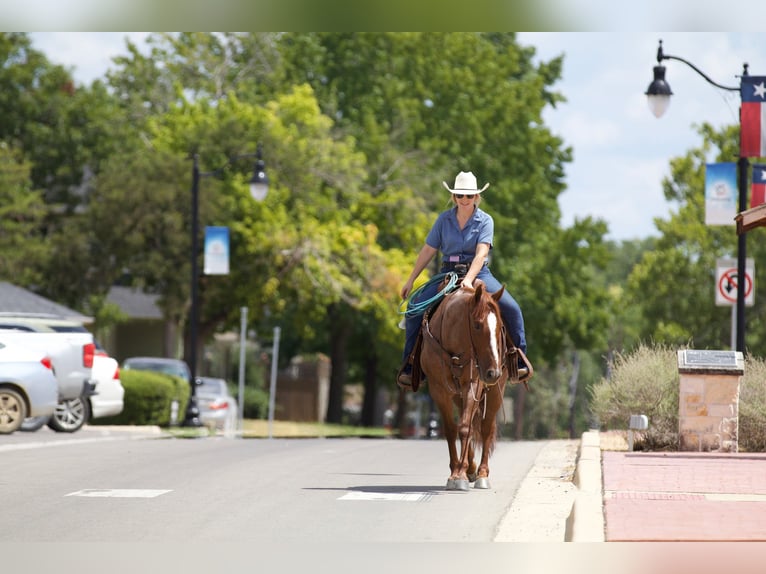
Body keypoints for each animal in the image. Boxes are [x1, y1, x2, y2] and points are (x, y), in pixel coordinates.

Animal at [420, 282, 510, 492]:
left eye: (499, 326)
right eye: (477, 325)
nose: (493, 372)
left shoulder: (474, 384)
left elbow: (465, 427)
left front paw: (459, 473)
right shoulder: (439, 390)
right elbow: (452, 429)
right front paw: (457, 471)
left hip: (495, 392)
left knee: (485, 428)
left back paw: (482, 474)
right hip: (458, 395)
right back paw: (471, 468)